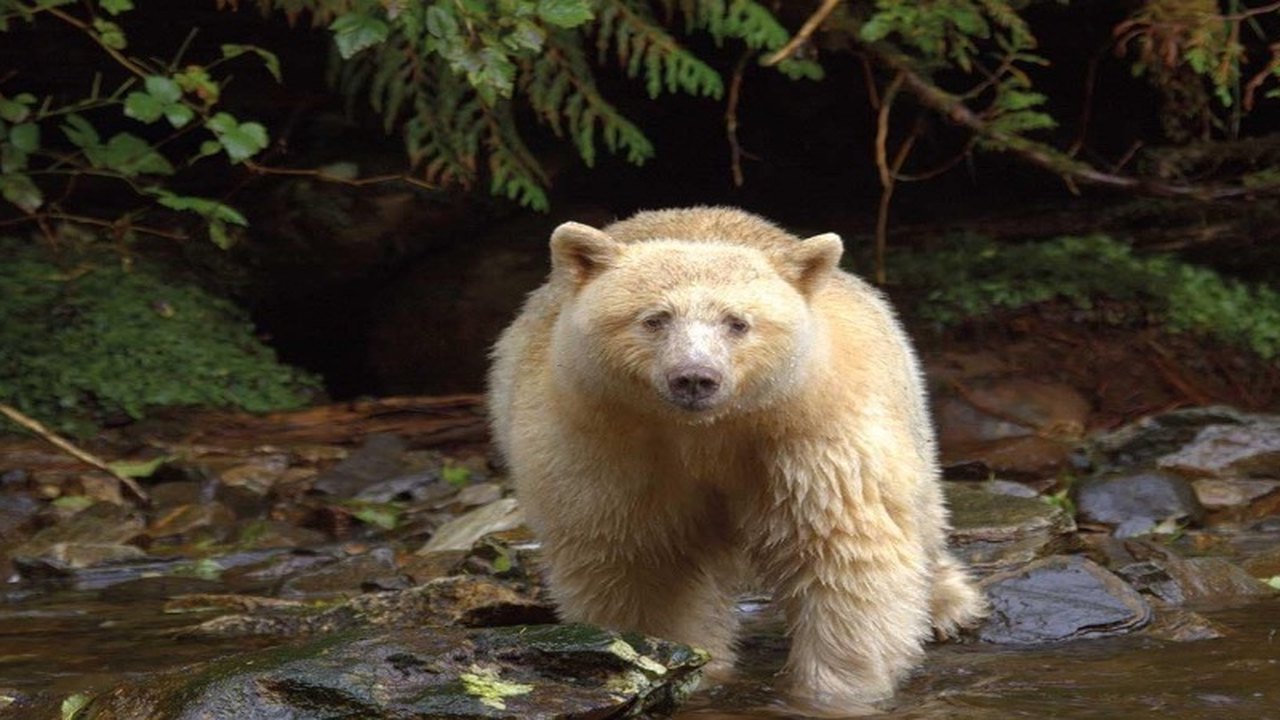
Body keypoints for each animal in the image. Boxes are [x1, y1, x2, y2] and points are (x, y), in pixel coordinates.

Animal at [488, 206, 985, 712]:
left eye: (737, 322)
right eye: (655, 318)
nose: (694, 377)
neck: (709, 430)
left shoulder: (809, 437)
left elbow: (844, 553)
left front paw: (832, 692)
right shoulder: (608, 447)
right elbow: (640, 564)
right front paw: (687, 669)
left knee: (921, 509)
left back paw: (947, 603)